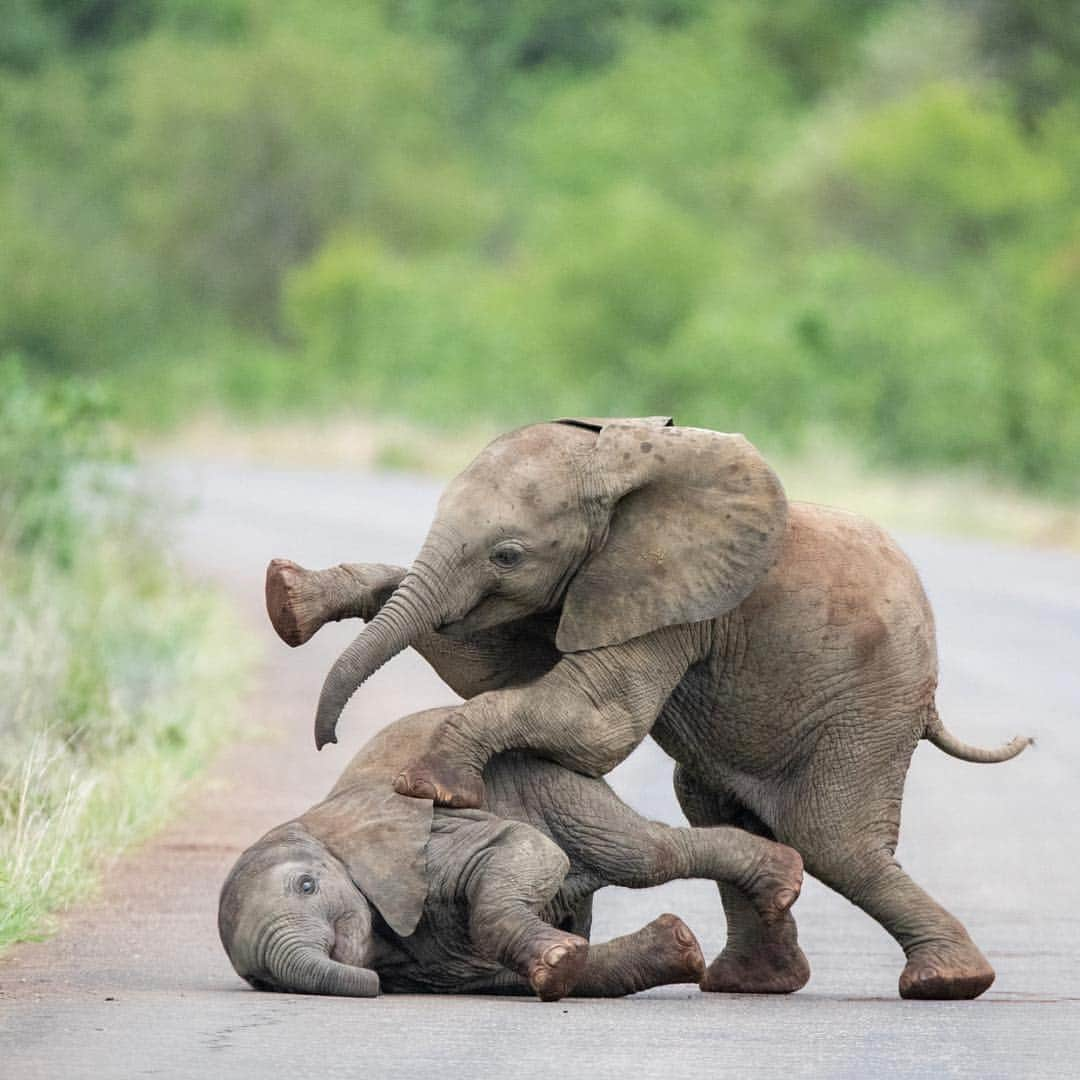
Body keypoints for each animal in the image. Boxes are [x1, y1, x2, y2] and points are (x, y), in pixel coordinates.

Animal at [219, 704, 803, 997]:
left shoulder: (432, 834)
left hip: (549, 781)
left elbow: (527, 849)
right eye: (261, 980)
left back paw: (784, 878)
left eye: (307, 885)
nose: (375, 987)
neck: (319, 827)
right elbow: (500, 972)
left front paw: (562, 959)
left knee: (645, 854)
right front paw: (569, 961)